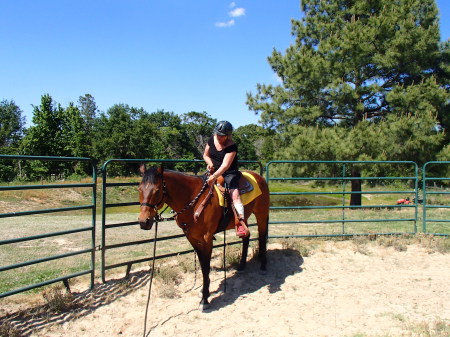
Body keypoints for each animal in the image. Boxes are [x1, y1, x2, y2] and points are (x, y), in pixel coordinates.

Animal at [139, 164, 268, 308]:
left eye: (157, 191)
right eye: (139, 189)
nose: (144, 222)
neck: (193, 201)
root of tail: (259, 177)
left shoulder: (207, 239)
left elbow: (206, 267)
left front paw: (204, 298)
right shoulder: (192, 238)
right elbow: (201, 265)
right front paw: (204, 291)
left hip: (261, 213)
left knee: (262, 235)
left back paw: (263, 265)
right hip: (243, 220)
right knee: (246, 235)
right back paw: (241, 266)